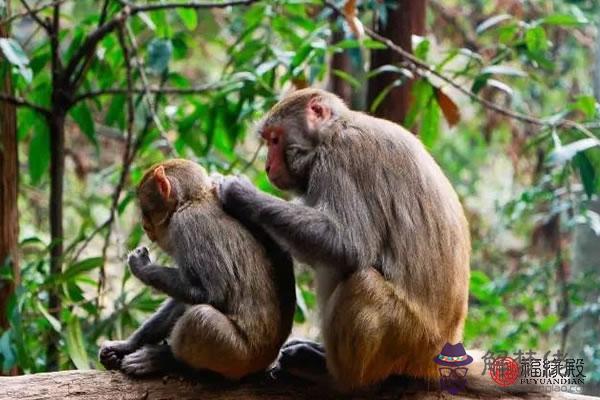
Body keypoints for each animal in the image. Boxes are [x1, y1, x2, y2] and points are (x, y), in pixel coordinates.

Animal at [99, 159, 296, 378]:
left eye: (144, 206)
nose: (143, 224)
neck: (193, 200)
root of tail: (268, 358)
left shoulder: (186, 224)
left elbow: (211, 294)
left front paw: (142, 267)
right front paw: (126, 345)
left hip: (238, 356)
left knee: (201, 318)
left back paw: (166, 361)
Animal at [218, 88, 472, 390]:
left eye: (275, 139)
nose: (268, 166)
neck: (333, 132)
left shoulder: (341, 159)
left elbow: (349, 246)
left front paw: (240, 194)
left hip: (409, 340)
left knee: (361, 281)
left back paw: (336, 375)